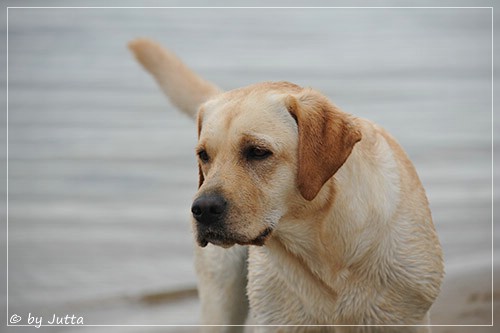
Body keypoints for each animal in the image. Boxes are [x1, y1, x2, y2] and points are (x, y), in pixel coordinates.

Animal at [130, 37, 446, 330]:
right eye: (204, 155)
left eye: (258, 151)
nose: (203, 208)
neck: (325, 243)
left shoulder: (407, 317)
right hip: (220, 300)